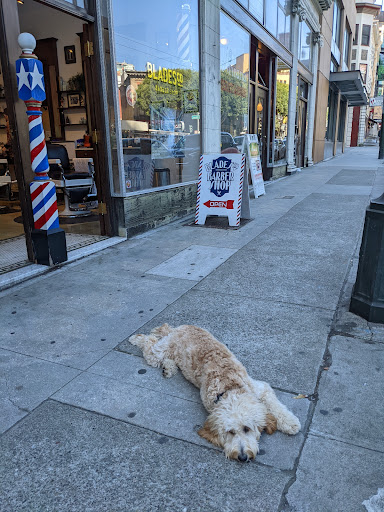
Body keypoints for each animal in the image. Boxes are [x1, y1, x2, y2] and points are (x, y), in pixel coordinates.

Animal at [129, 326, 300, 462]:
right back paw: (137, 338)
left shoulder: (260, 388)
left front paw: (290, 422)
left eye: (247, 429)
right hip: (158, 352)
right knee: (149, 343)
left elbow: (276, 406)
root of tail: (179, 327)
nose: (242, 457)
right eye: (230, 432)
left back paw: (168, 367)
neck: (230, 388)